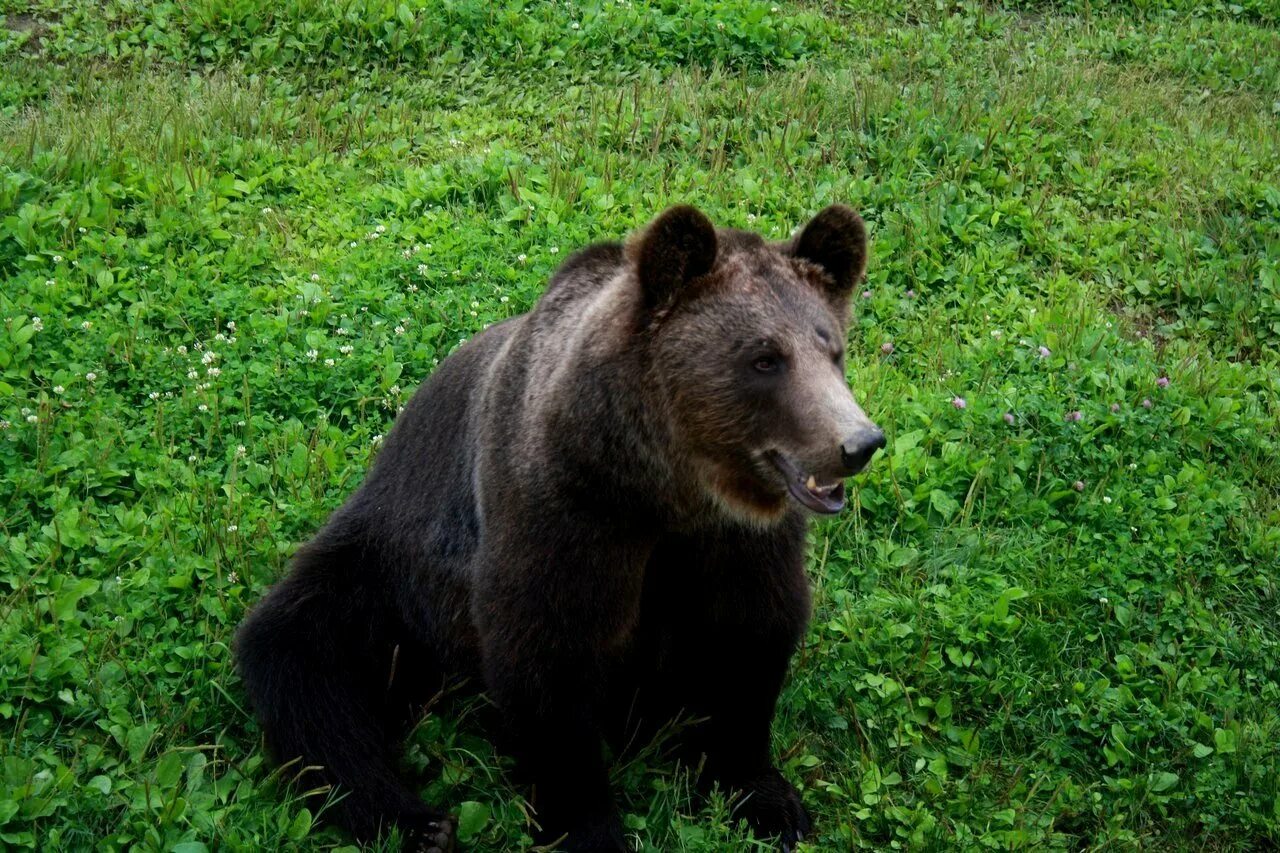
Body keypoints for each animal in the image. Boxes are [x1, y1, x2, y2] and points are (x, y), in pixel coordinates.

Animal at [232, 202, 880, 845]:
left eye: (832, 349)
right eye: (765, 359)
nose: (858, 443)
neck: (663, 487)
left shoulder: (736, 541)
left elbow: (749, 638)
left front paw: (766, 798)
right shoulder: (564, 511)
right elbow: (548, 659)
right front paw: (587, 825)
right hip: (386, 570)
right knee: (307, 660)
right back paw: (417, 822)